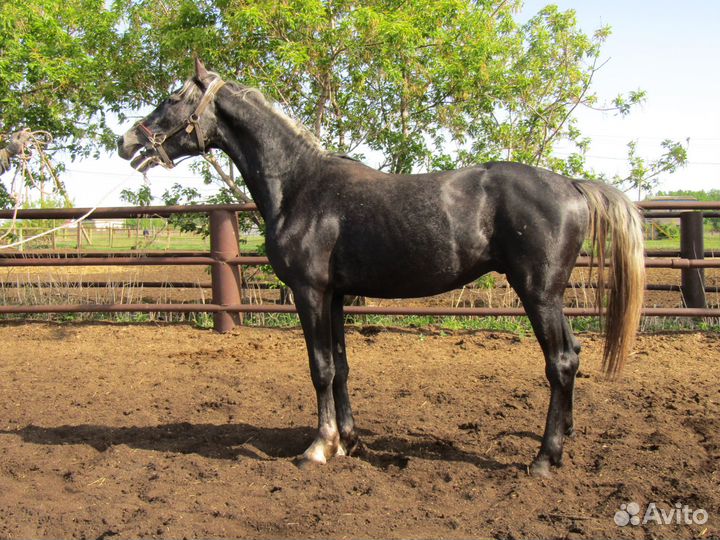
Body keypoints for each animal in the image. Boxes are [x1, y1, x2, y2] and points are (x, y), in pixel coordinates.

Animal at [118, 59, 645, 477]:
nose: (125, 141)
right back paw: (564, 438)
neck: (299, 185)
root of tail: (572, 185)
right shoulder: (333, 295)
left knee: (561, 361)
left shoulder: (309, 292)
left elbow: (321, 368)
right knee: (573, 354)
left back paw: (543, 458)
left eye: (172, 98)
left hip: (538, 292)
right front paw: (347, 442)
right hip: (549, 295)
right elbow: (342, 367)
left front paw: (317, 448)